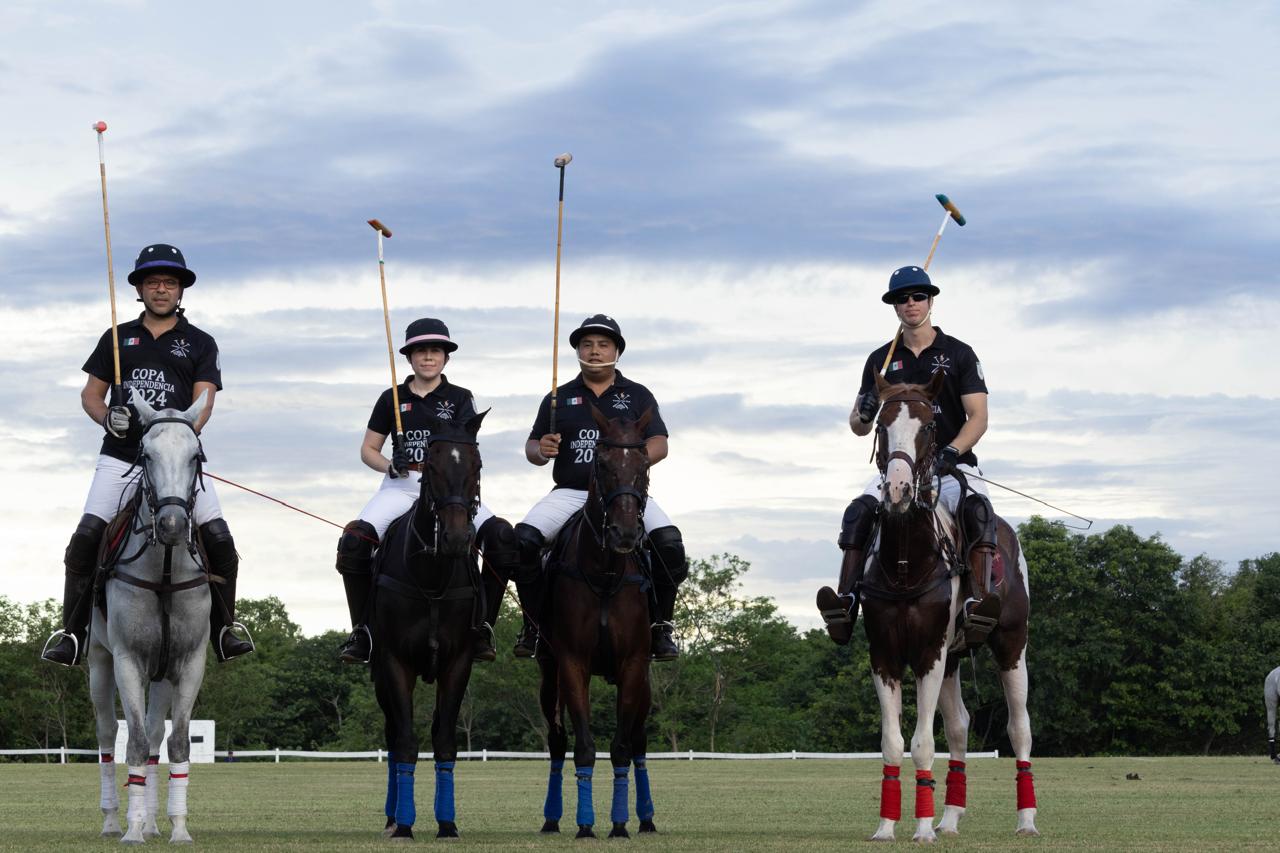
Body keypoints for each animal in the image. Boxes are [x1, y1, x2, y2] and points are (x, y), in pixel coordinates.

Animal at [87, 389, 213, 840]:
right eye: (145, 455)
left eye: (196, 455)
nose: (173, 524)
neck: (165, 569)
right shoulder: (126, 660)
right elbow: (135, 744)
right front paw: (131, 831)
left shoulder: (191, 662)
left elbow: (176, 742)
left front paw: (178, 828)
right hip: (98, 661)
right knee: (108, 736)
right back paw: (112, 820)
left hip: (162, 673)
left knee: (158, 733)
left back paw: (154, 822)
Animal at [373, 409, 491, 835]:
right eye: (434, 466)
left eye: (476, 465)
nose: (457, 538)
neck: (431, 577)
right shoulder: (394, 662)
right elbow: (406, 741)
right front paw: (404, 825)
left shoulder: (459, 663)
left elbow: (444, 741)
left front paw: (448, 823)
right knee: (393, 735)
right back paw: (392, 817)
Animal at [537, 404, 660, 835]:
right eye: (603, 463)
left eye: (644, 464)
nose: (624, 532)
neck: (605, 573)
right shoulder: (573, 663)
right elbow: (585, 747)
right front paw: (586, 824)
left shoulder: (634, 665)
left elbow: (622, 747)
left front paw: (620, 824)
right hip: (549, 675)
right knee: (557, 742)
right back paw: (551, 819)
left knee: (639, 741)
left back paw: (647, 819)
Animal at [855, 373, 1034, 835]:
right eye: (880, 424)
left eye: (930, 427)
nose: (898, 489)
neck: (905, 561)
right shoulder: (884, 653)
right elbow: (892, 743)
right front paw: (886, 828)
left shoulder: (929, 652)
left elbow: (921, 743)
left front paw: (919, 830)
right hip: (954, 656)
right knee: (959, 727)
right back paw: (950, 818)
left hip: (1012, 643)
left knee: (1020, 727)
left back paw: (1027, 820)